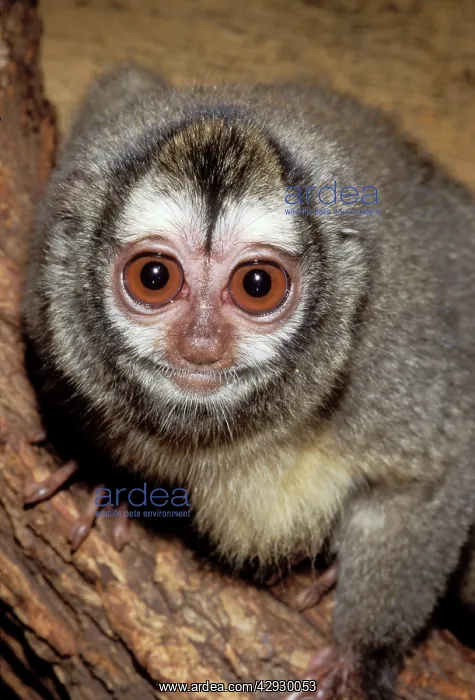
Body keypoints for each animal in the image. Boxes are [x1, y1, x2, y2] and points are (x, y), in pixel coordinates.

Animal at [22, 62, 475, 699]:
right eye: (154, 277)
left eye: (257, 285)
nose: (201, 346)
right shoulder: (47, 299)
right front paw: (97, 471)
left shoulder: (386, 362)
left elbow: (437, 471)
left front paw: (359, 657)